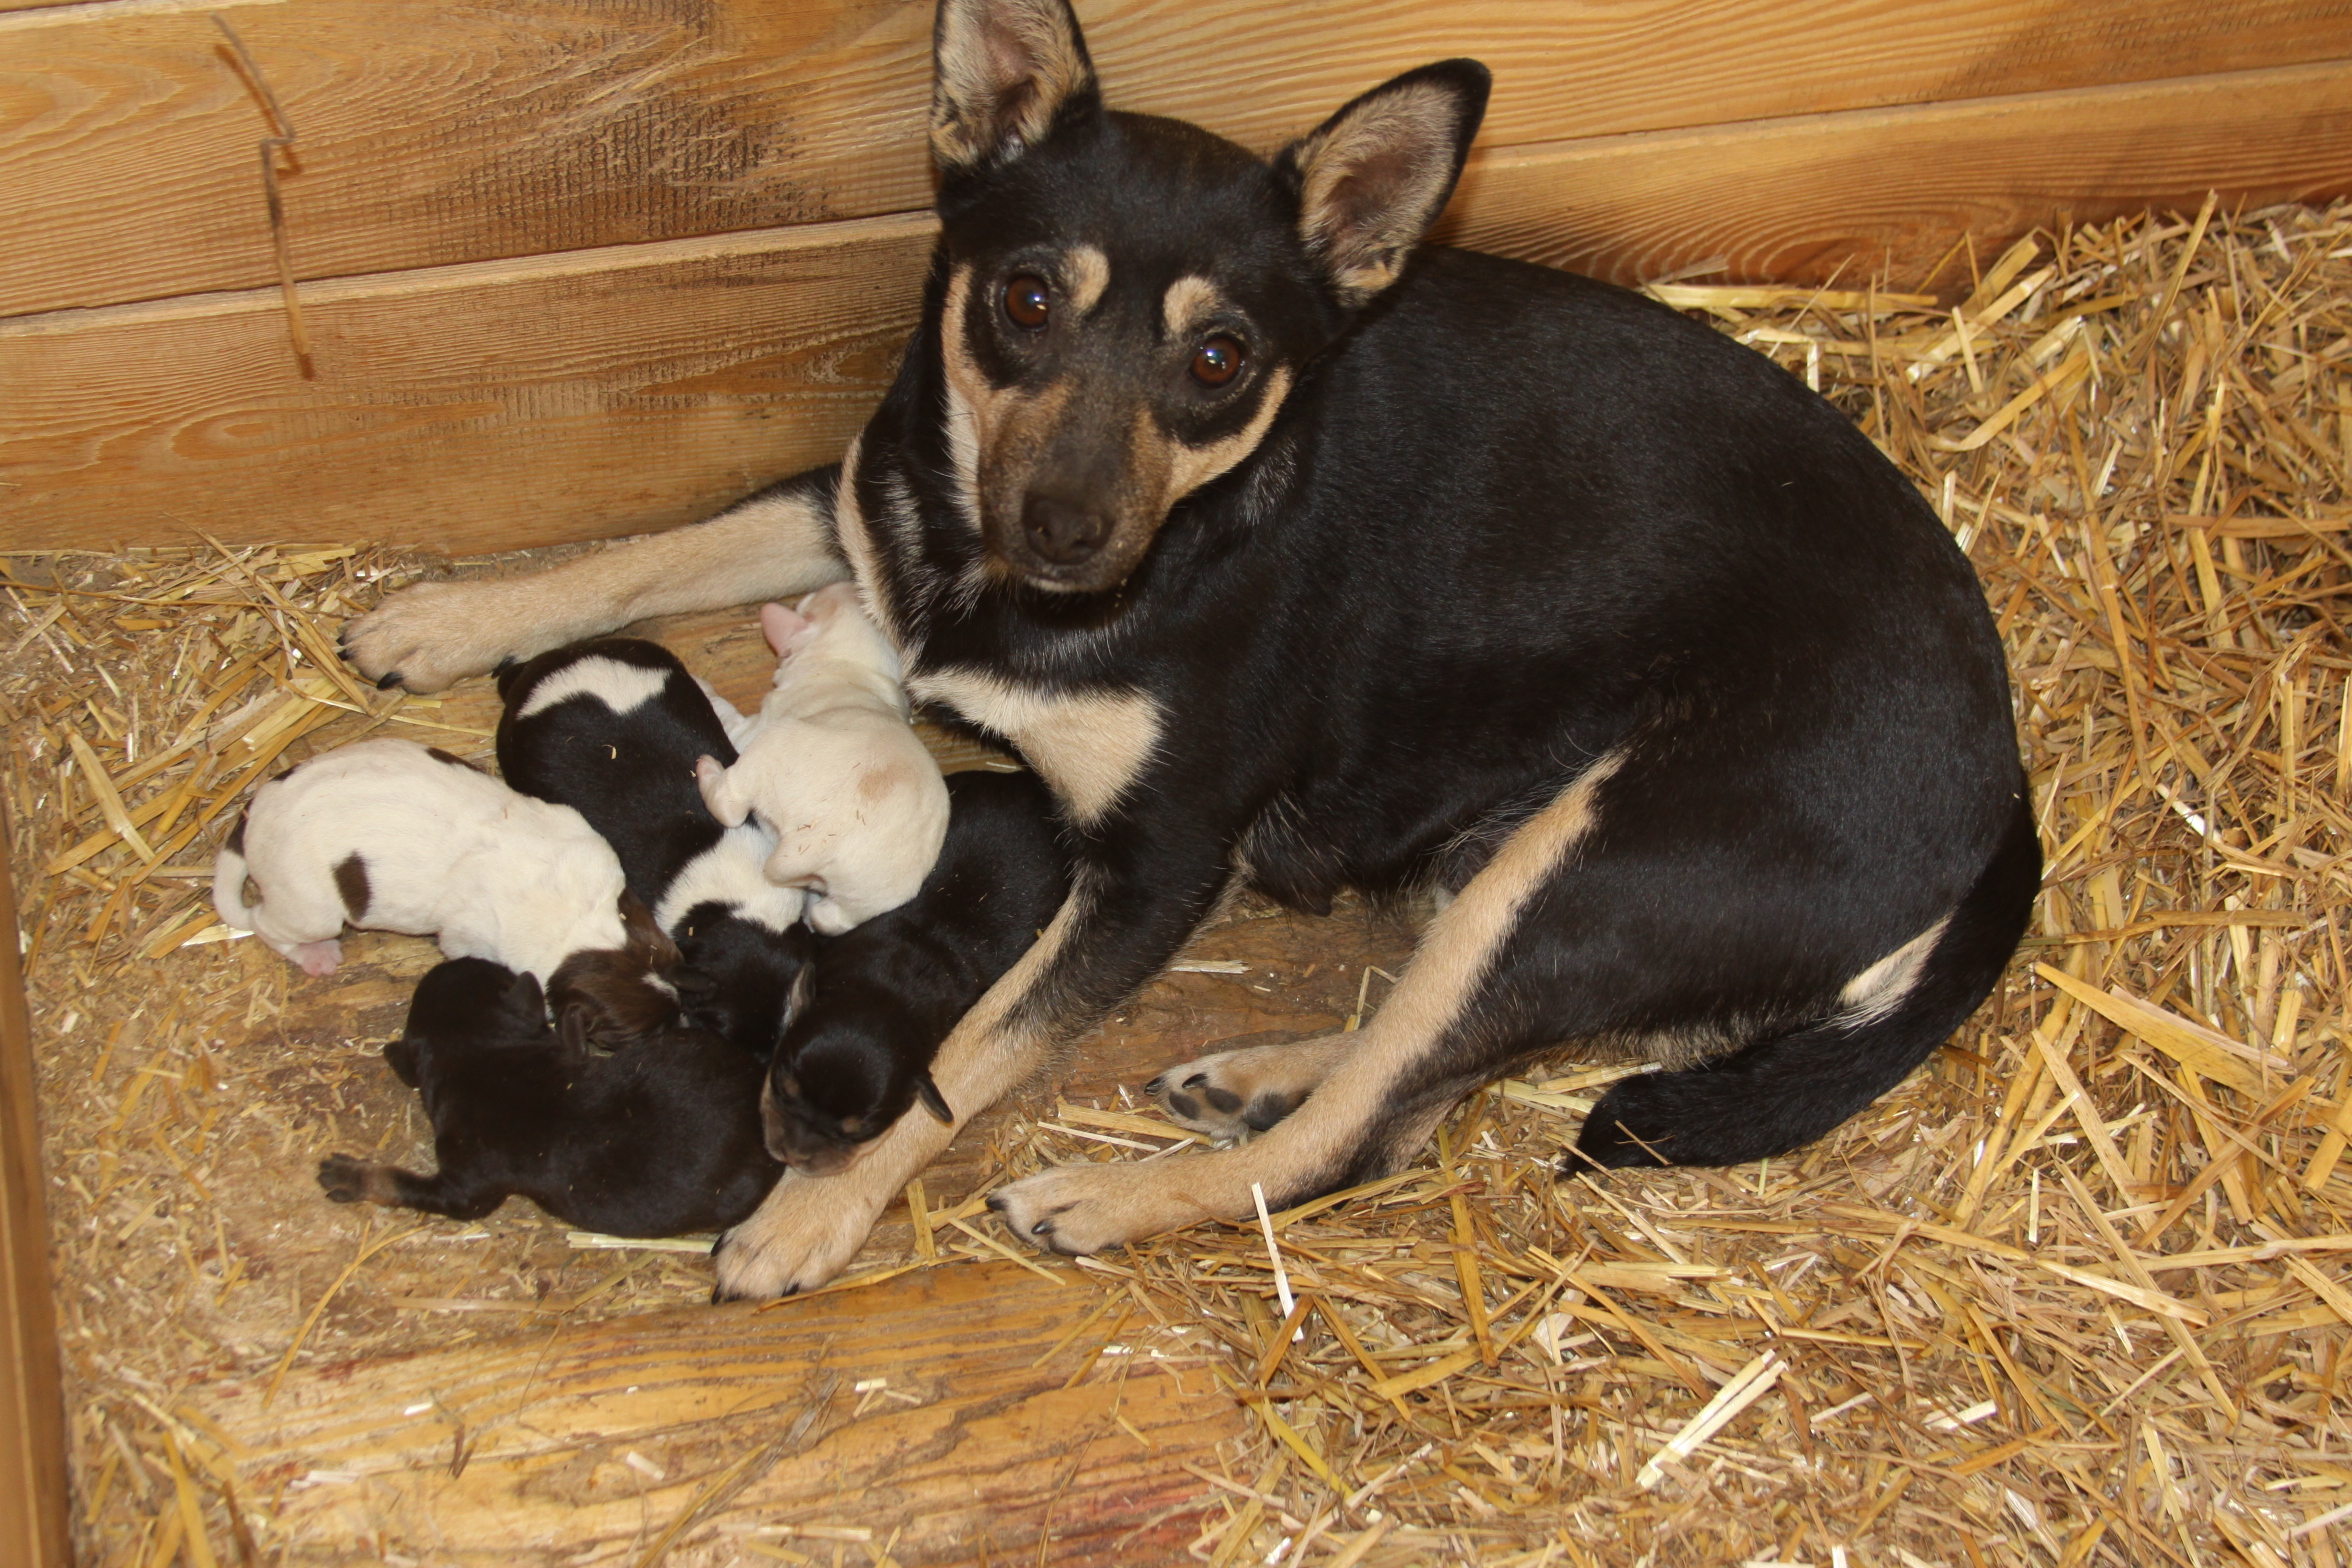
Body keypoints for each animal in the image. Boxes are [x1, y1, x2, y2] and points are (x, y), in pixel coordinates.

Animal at [213, 737, 681, 1042]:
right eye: (638, 1033)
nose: (683, 1022)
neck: (573, 913)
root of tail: (254, 810)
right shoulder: (468, 940)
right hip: (309, 908)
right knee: (264, 923)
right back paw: (317, 956)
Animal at [693, 587, 951, 935]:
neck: (848, 664)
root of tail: (817, 839)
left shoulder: (752, 727)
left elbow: (727, 716)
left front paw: (703, 687)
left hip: (771, 741)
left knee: (728, 804)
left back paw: (708, 770)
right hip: (865, 899)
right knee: (831, 919)